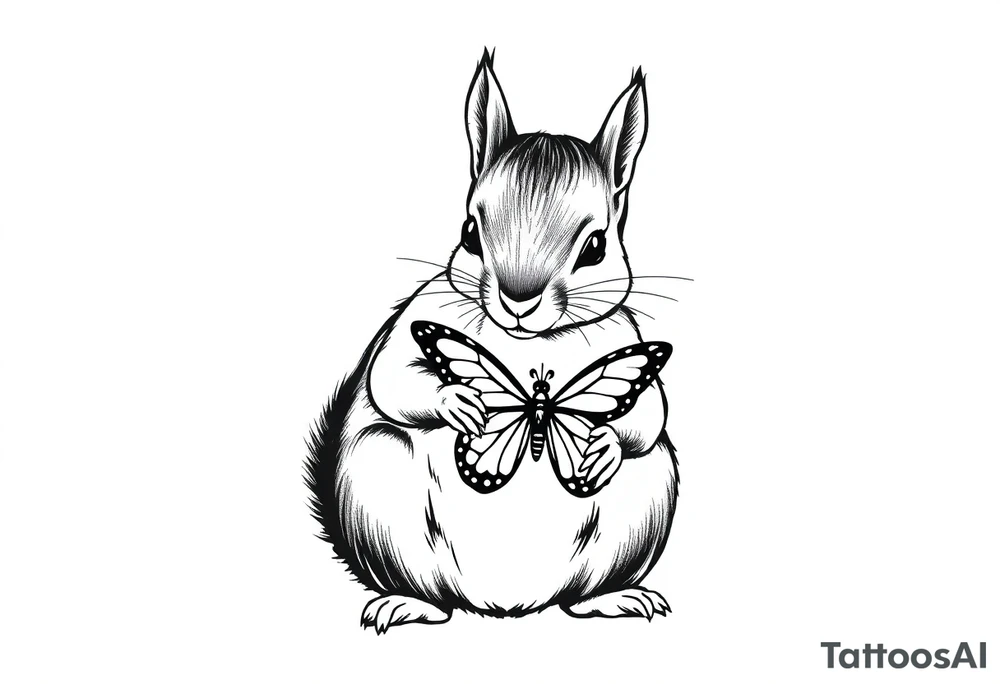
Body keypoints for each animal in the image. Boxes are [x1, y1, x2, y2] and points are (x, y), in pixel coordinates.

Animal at [306, 50, 678, 633]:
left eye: (596, 247)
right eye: (469, 233)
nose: (518, 299)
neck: (529, 340)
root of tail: (505, 604)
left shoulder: (629, 343)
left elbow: (649, 413)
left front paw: (605, 447)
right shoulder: (419, 319)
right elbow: (390, 377)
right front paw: (457, 401)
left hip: (644, 508)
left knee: (580, 595)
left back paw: (616, 598)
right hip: (378, 499)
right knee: (433, 597)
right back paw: (405, 604)